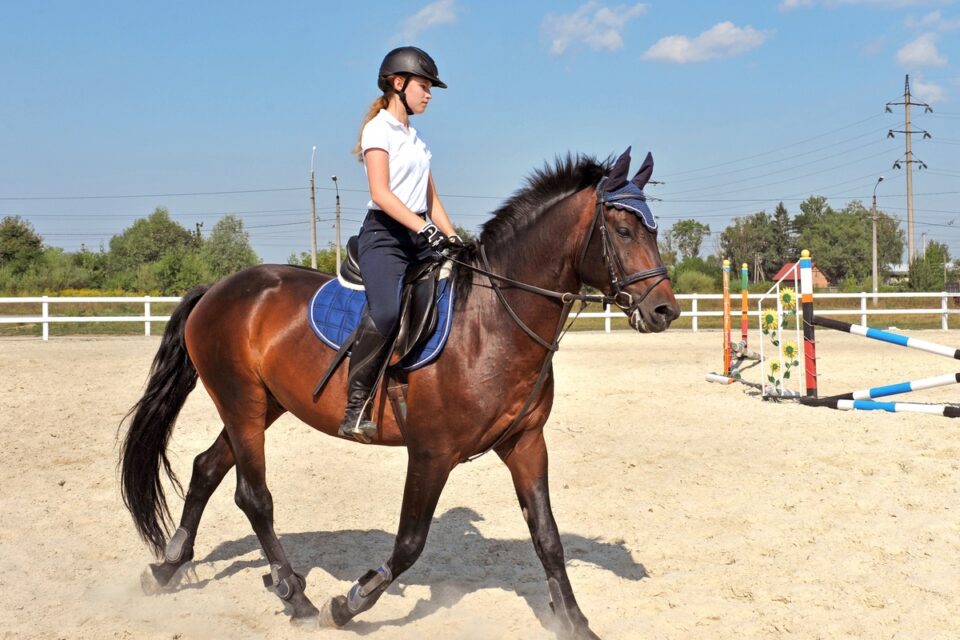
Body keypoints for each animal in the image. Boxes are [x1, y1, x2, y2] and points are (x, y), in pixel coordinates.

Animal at [119, 147, 680, 640]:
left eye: (654, 229)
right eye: (624, 230)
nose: (665, 312)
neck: (493, 322)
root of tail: (215, 290)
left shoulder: (525, 443)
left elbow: (547, 537)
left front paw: (574, 621)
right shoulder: (432, 452)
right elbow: (410, 543)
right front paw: (348, 604)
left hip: (261, 406)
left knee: (207, 469)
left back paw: (167, 568)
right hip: (242, 404)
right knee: (253, 497)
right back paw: (296, 597)